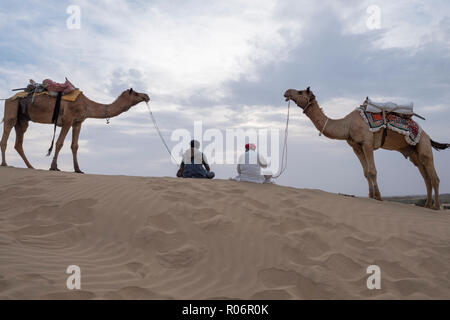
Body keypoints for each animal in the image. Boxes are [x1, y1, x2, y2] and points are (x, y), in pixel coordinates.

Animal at [0, 88, 150, 172]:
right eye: (136, 93)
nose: (146, 96)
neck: (86, 104)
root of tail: (7, 98)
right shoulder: (68, 120)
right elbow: (59, 143)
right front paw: (54, 167)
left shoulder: (78, 122)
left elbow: (75, 146)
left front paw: (78, 169)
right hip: (11, 110)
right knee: (6, 135)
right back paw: (5, 164)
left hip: (23, 120)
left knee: (18, 143)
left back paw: (31, 167)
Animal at [284, 87, 450, 210]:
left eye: (300, 91)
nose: (286, 92)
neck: (347, 125)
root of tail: (428, 136)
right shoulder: (356, 147)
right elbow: (365, 173)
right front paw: (371, 196)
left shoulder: (367, 143)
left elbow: (372, 171)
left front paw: (378, 197)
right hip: (413, 153)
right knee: (425, 176)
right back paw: (427, 205)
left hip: (424, 145)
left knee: (433, 176)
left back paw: (436, 206)